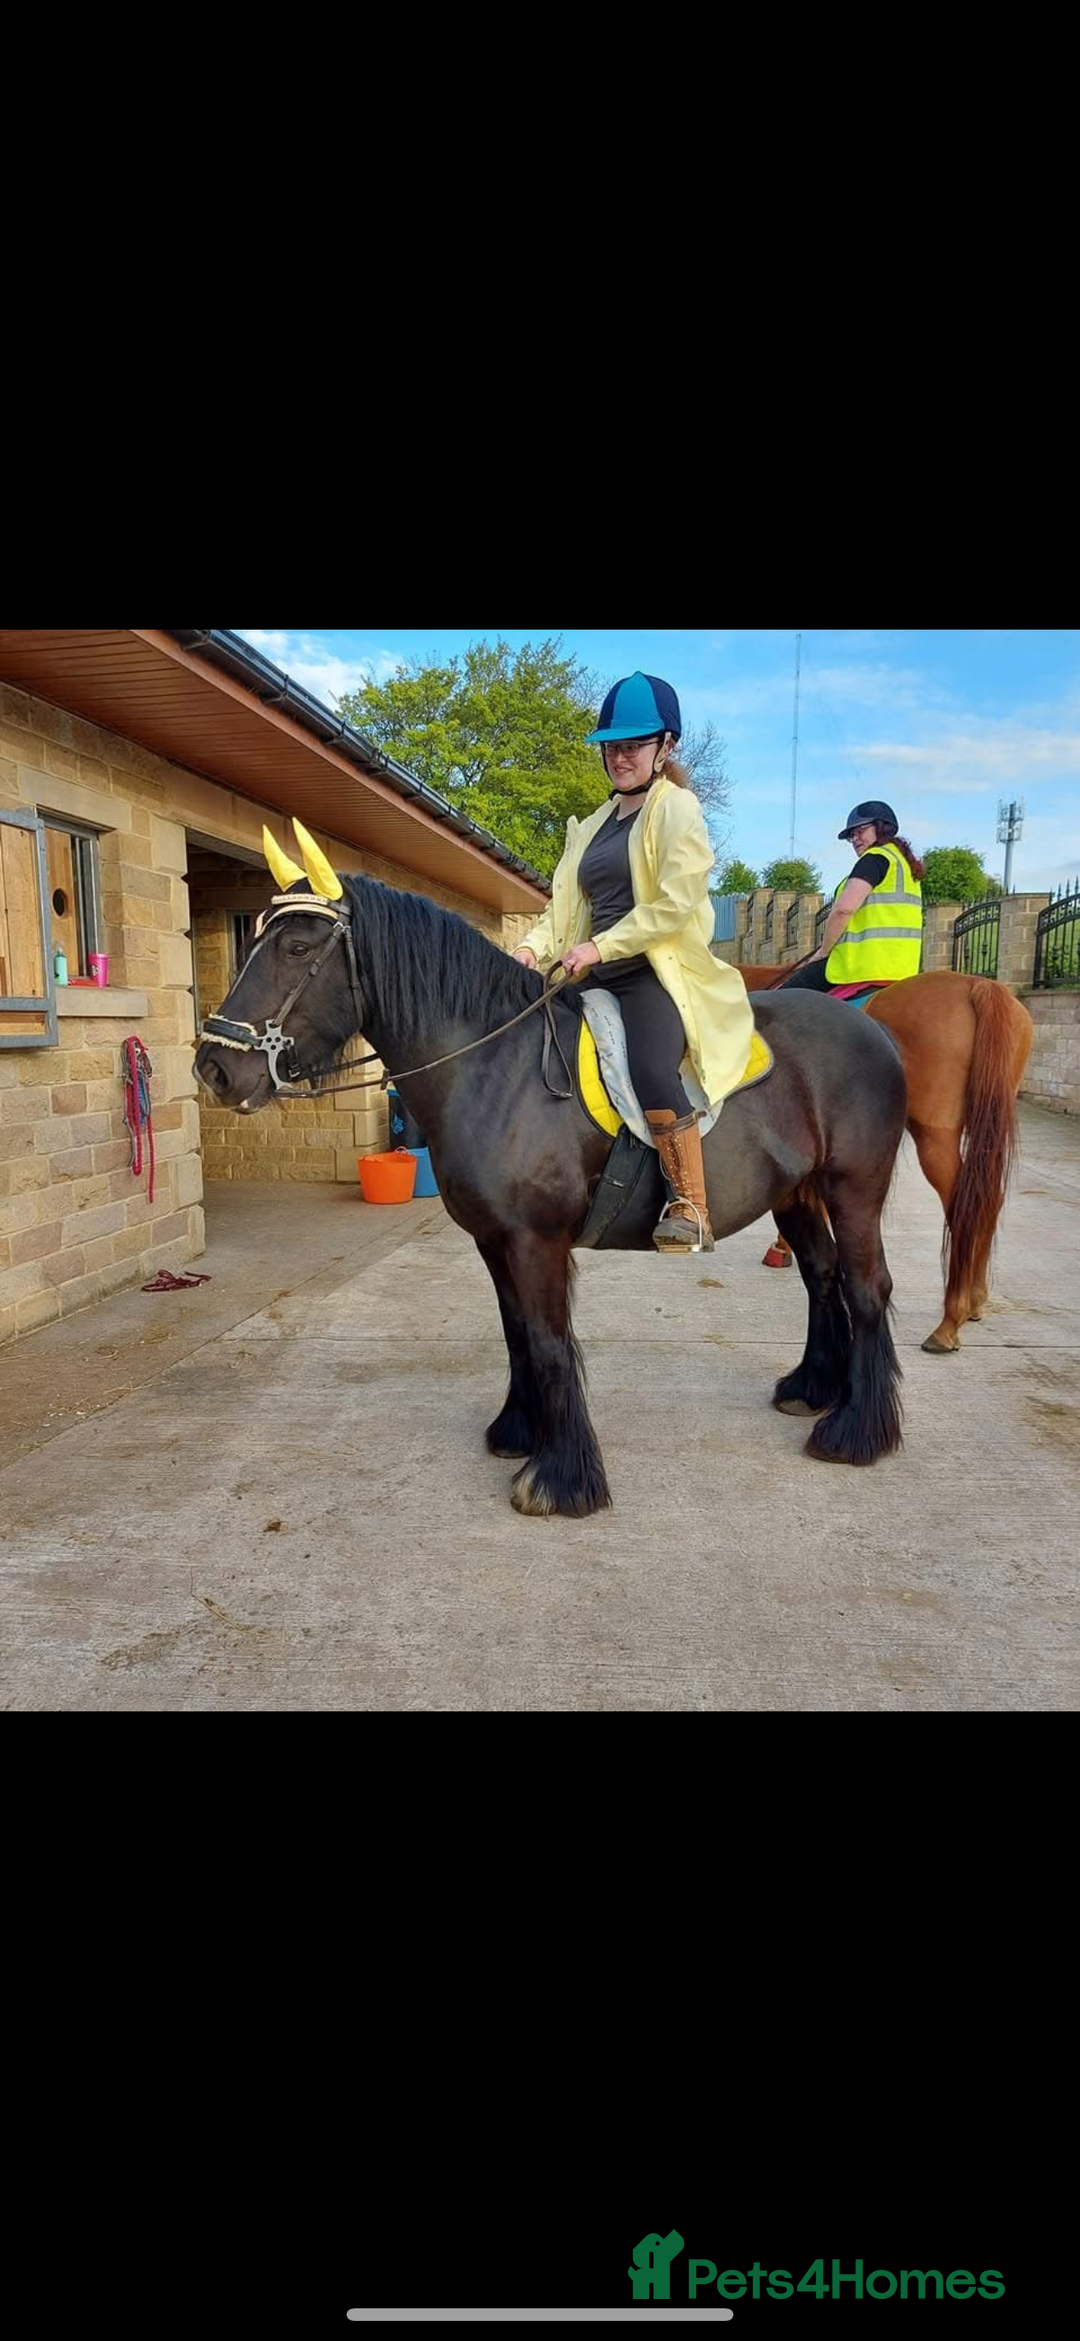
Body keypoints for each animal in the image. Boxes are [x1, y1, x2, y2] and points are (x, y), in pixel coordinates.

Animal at [194, 871, 909, 1517]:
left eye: (296, 948)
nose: (214, 1068)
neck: (497, 1068)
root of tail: (874, 1030)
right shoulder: (494, 1240)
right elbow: (516, 1332)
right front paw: (519, 1430)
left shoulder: (535, 1241)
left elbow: (547, 1340)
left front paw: (561, 1479)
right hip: (798, 1195)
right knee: (822, 1278)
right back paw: (816, 1388)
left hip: (853, 1190)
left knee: (866, 1287)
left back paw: (856, 1432)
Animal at [737, 967, 1034, 1353]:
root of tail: (978, 985)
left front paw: (783, 1247)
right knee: (986, 1204)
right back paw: (975, 1301)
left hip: (935, 1134)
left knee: (962, 1208)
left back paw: (950, 1320)